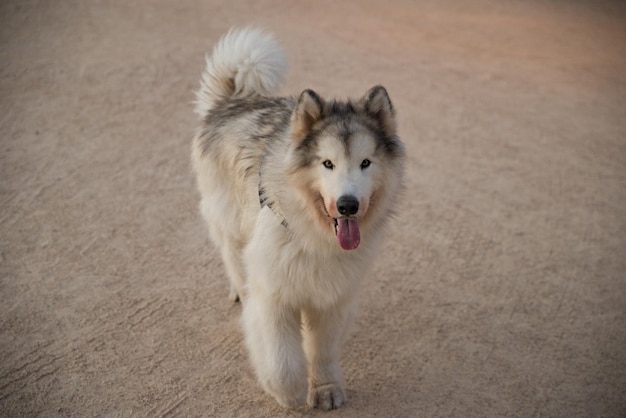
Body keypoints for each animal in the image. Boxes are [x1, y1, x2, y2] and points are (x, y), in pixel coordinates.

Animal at [190, 27, 404, 410]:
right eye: (327, 163)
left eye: (366, 162)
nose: (347, 205)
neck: (316, 237)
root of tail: (232, 100)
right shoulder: (273, 295)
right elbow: (281, 359)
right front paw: (286, 393)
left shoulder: (333, 297)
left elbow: (322, 350)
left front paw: (326, 388)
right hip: (231, 226)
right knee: (234, 262)